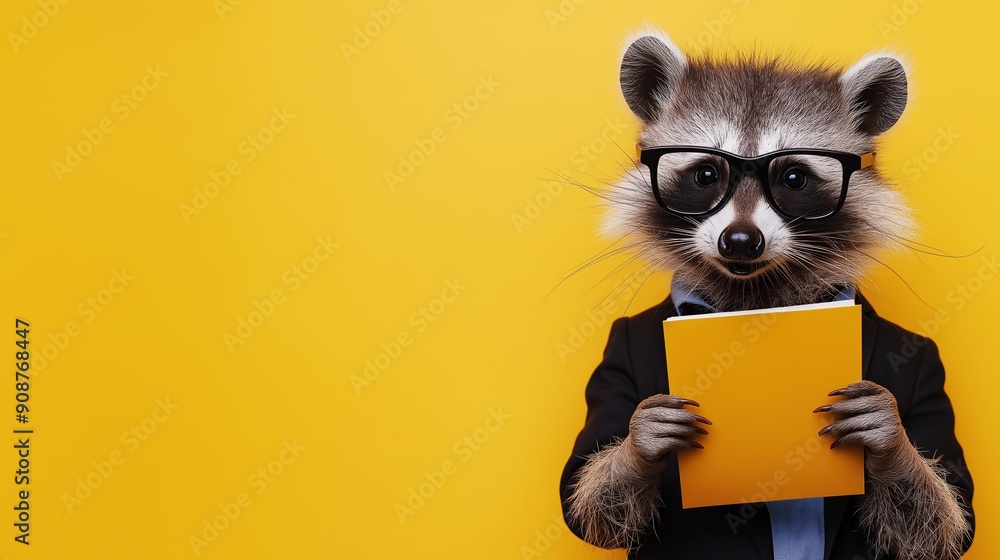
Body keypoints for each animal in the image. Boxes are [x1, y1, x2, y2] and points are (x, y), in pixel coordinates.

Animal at [560, 28, 974, 560]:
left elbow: (945, 519)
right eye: (706, 174)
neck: (753, 291)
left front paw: (891, 439)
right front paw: (640, 441)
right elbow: (586, 498)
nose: (739, 240)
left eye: (793, 177)